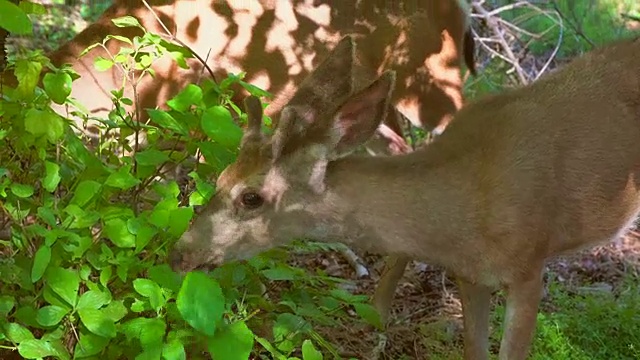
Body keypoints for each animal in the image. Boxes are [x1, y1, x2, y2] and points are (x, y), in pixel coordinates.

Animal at [168, 32, 640, 358]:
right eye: (221, 176)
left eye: (251, 197)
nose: (179, 253)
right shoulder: (470, 274)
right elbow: (474, 350)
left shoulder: (528, 266)